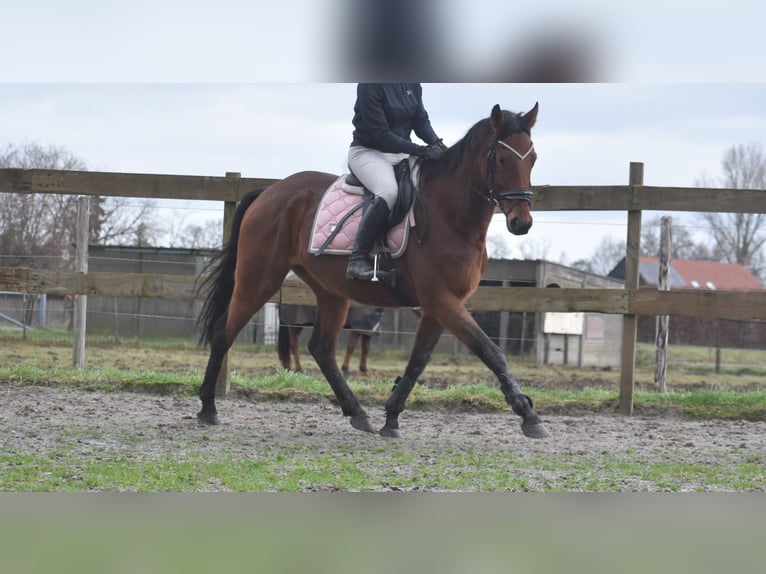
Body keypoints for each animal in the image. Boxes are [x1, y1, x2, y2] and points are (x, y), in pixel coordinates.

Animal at [196, 103, 544, 438]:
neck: (450, 216)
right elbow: (491, 351)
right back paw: (208, 408)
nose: (522, 223)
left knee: (321, 348)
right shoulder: (443, 301)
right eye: (501, 159)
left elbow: (418, 362)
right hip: (259, 278)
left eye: (533, 159)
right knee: (224, 331)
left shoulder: (440, 307)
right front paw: (528, 414)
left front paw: (391, 418)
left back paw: (357, 413)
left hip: (331, 291)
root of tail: (269, 192)